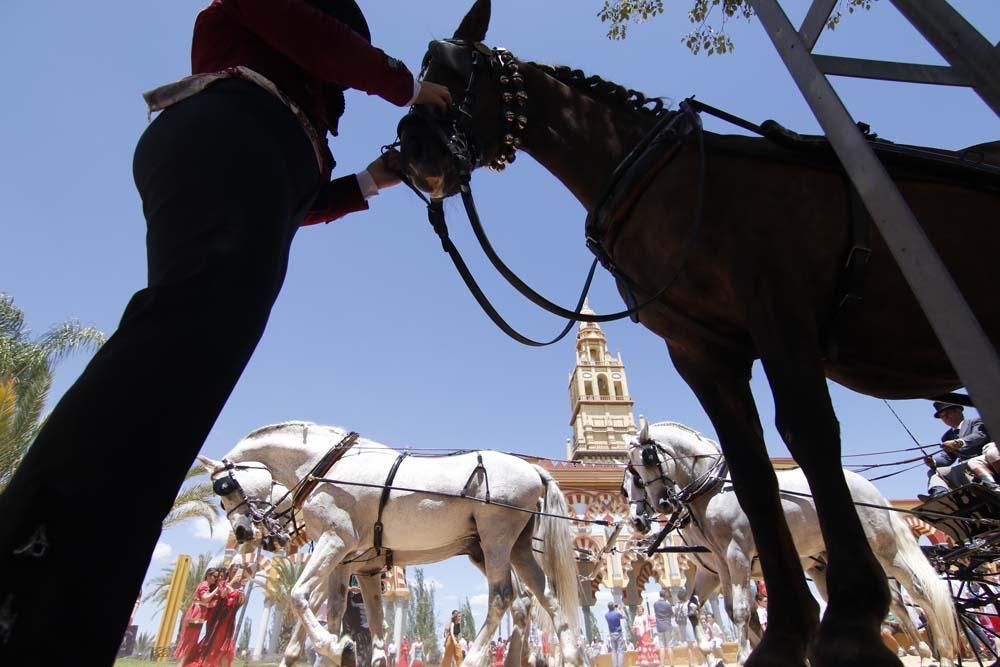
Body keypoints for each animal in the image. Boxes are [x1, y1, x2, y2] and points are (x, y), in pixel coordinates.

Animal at [199, 422, 584, 667]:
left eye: (224, 488)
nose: (243, 532)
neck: (328, 467)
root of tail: (535, 470)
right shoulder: (357, 565)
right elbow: (357, 617)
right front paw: (345, 650)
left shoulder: (335, 542)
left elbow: (299, 596)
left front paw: (334, 647)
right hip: (513, 547)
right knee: (544, 597)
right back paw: (569, 656)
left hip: (496, 540)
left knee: (504, 597)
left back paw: (475, 659)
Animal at [620, 418, 956, 667]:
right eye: (628, 479)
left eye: (647, 460)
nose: (641, 518)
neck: (711, 487)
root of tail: (867, 486)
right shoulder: (717, 564)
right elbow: (701, 608)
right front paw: (716, 653)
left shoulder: (737, 554)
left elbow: (741, 610)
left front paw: (743, 655)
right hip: (825, 561)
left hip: (883, 546)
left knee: (917, 591)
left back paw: (942, 654)